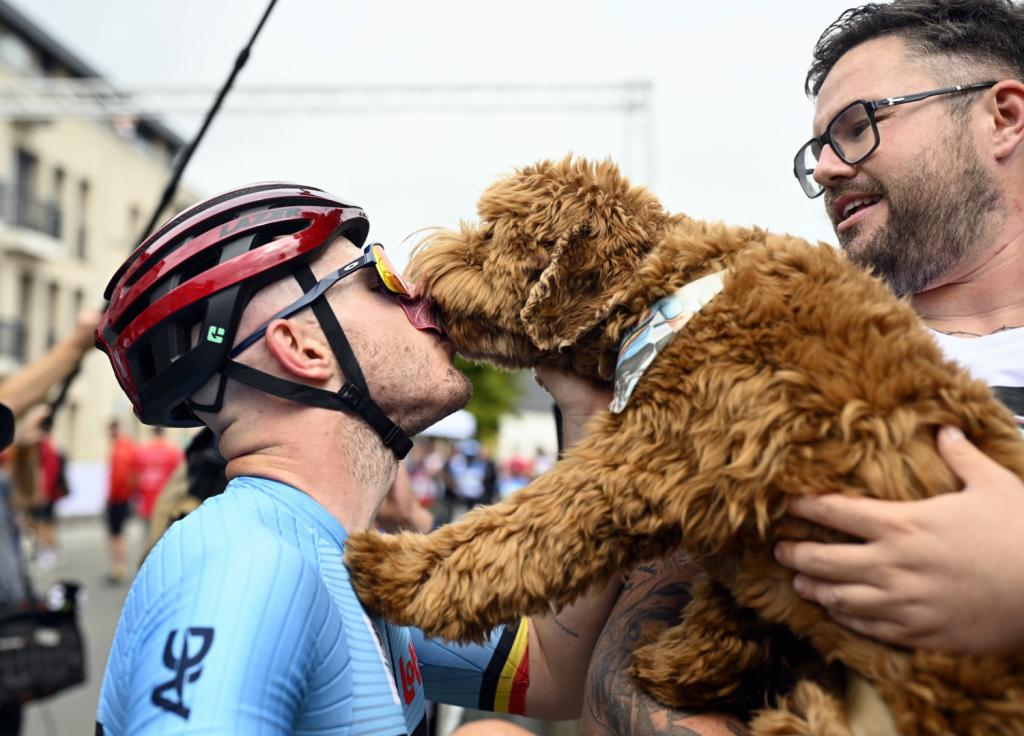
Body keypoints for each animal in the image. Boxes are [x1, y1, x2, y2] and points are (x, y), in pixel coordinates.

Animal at [344, 157, 1024, 734]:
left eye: (492, 234)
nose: (418, 266)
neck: (665, 292)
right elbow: (734, 608)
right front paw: (681, 664)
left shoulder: (645, 456)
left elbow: (514, 532)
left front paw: (398, 570)